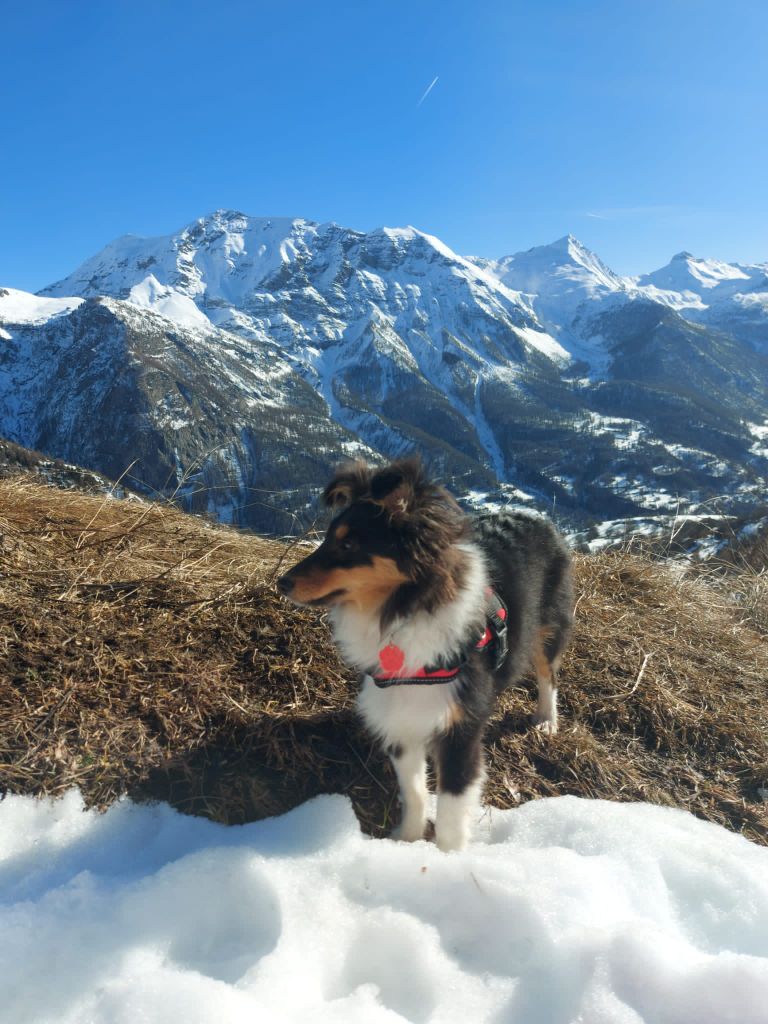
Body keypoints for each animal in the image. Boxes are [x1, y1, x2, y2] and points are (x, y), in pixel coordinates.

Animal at [276, 460, 573, 851]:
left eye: (349, 543)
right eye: (326, 538)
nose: (282, 582)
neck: (404, 612)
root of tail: (537, 516)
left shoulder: (461, 729)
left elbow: (452, 805)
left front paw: (447, 856)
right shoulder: (399, 714)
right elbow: (415, 790)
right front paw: (406, 842)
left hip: (549, 626)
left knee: (547, 673)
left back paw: (546, 719)